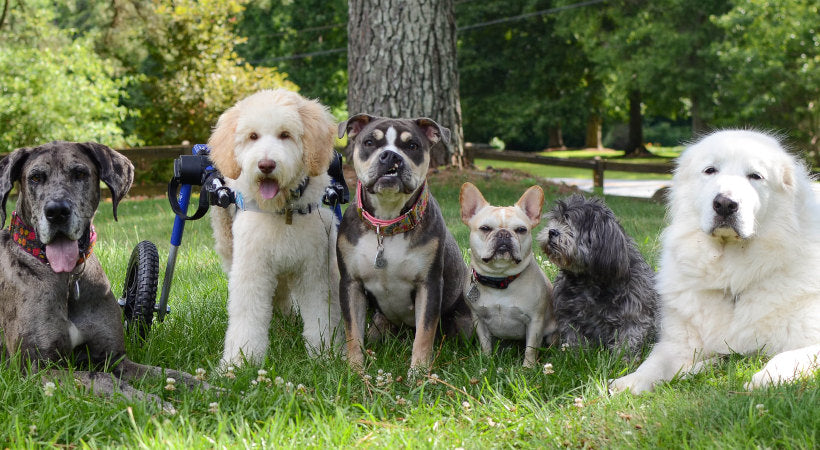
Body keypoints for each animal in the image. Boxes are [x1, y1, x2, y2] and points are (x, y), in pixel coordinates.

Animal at [0, 142, 205, 410]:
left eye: (79, 173)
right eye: (35, 177)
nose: (57, 212)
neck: (68, 280)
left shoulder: (116, 359)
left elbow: (171, 374)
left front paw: (218, 389)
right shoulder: (36, 369)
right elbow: (102, 378)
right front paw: (153, 403)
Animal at [336, 114, 470, 374]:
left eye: (412, 146)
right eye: (369, 142)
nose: (391, 156)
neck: (387, 225)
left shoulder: (429, 285)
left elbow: (424, 334)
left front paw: (418, 373)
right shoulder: (351, 284)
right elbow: (352, 331)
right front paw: (354, 370)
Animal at [540, 195, 660, 354]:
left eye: (570, 225)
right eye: (556, 220)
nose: (552, 231)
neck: (588, 280)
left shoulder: (633, 316)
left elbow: (627, 341)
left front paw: (622, 359)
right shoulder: (568, 315)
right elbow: (574, 339)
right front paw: (575, 354)